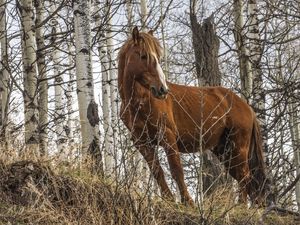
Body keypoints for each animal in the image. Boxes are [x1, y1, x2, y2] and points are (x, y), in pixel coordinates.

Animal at [118, 26, 270, 206]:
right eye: (143, 55)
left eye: (158, 57)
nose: (162, 89)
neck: (140, 102)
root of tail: (247, 107)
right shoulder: (141, 142)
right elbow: (157, 171)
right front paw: (169, 199)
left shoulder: (168, 136)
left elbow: (176, 170)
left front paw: (188, 202)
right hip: (224, 150)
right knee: (244, 178)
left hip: (238, 147)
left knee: (245, 177)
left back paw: (240, 206)